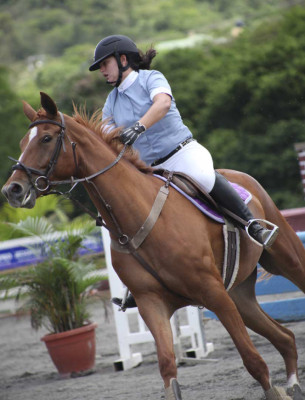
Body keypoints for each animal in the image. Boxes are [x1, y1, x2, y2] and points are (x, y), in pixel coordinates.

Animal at [1, 92, 304, 398]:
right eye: (23, 143)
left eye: (46, 138)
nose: (12, 190)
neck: (138, 214)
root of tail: (242, 177)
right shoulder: (151, 303)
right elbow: (168, 367)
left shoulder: (214, 293)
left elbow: (252, 359)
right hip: (240, 296)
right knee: (285, 337)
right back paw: (293, 383)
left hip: (285, 262)